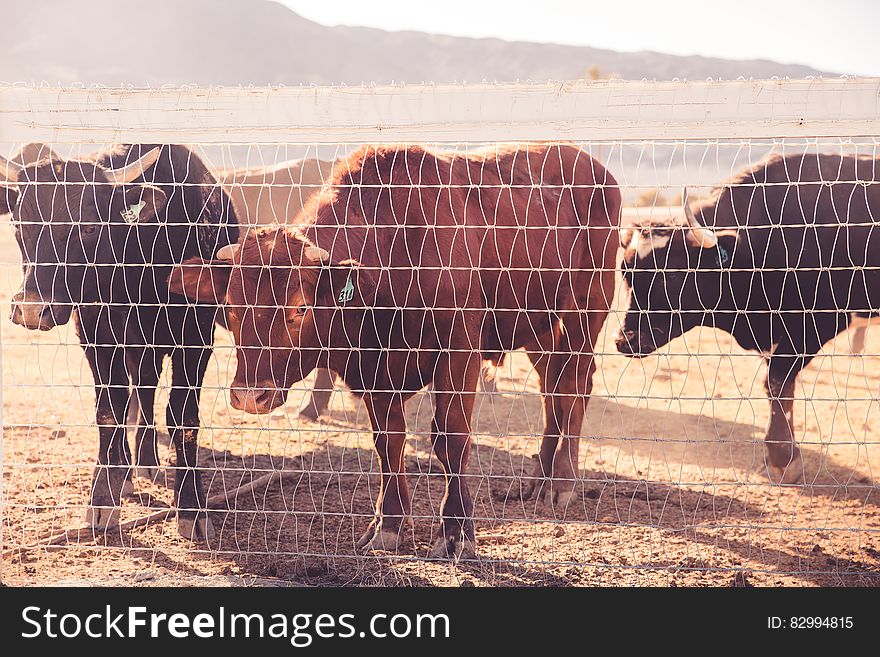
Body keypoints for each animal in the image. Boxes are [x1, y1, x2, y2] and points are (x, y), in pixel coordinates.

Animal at [0, 144, 237, 540]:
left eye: (88, 226)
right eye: (20, 225)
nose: (32, 309)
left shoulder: (197, 337)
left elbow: (183, 417)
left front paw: (191, 507)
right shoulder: (95, 333)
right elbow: (108, 410)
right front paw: (102, 498)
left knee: (146, 389)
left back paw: (144, 461)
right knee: (136, 391)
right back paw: (121, 469)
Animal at [170, 144, 620, 560]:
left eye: (300, 307)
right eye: (230, 307)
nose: (250, 395)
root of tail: (596, 169)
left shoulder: (459, 352)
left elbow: (451, 438)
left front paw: (456, 532)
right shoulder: (374, 372)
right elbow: (389, 442)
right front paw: (387, 525)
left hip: (585, 311)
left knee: (573, 389)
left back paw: (563, 483)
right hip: (538, 327)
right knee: (551, 390)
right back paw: (537, 480)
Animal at [616, 152, 880, 482]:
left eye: (674, 275)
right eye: (625, 273)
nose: (624, 340)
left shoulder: (813, 325)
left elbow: (777, 382)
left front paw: (782, 457)